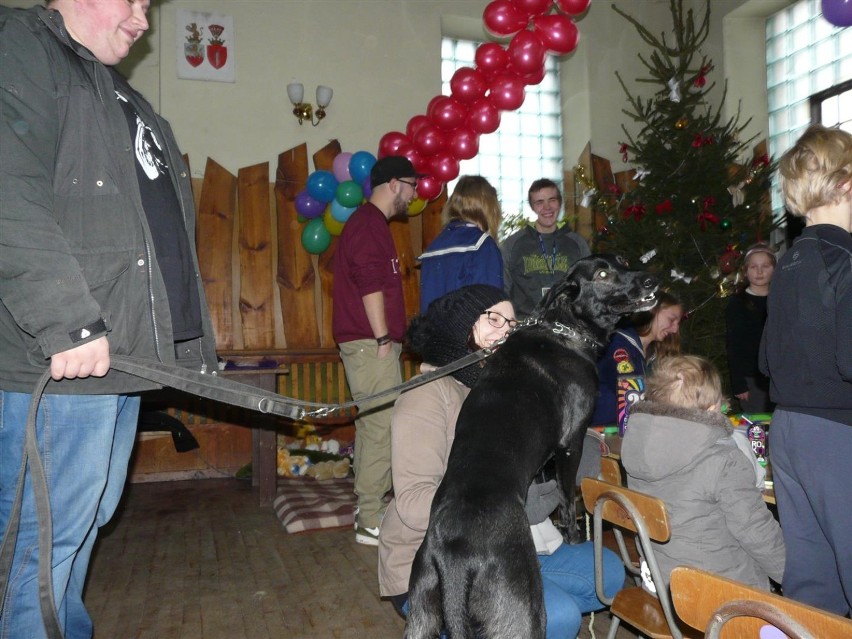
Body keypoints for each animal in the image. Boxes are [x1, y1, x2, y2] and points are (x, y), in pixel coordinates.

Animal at [406, 255, 660, 639]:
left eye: (620, 262)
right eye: (603, 274)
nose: (650, 280)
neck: (563, 330)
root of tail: (454, 558)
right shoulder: (569, 445)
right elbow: (567, 501)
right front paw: (573, 539)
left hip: (421, 615)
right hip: (522, 613)